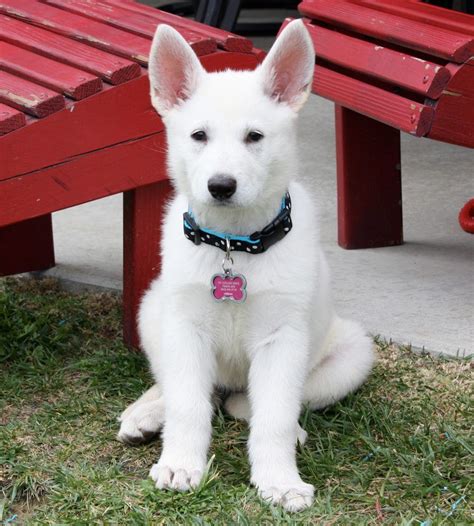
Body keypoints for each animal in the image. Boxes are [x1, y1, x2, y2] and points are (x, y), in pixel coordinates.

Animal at [118, 21, 374, 516]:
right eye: (198, 135)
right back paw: (146, 413)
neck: (233, 247)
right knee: (181, 387)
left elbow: (274, 417)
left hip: (352, 353)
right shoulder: (186, 329)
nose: (221, 186)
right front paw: (181, 464)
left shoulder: (282, 339)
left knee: (248, 403)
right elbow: (188, 405)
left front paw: (280, 481)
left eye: (254, 137)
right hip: (152, 308)